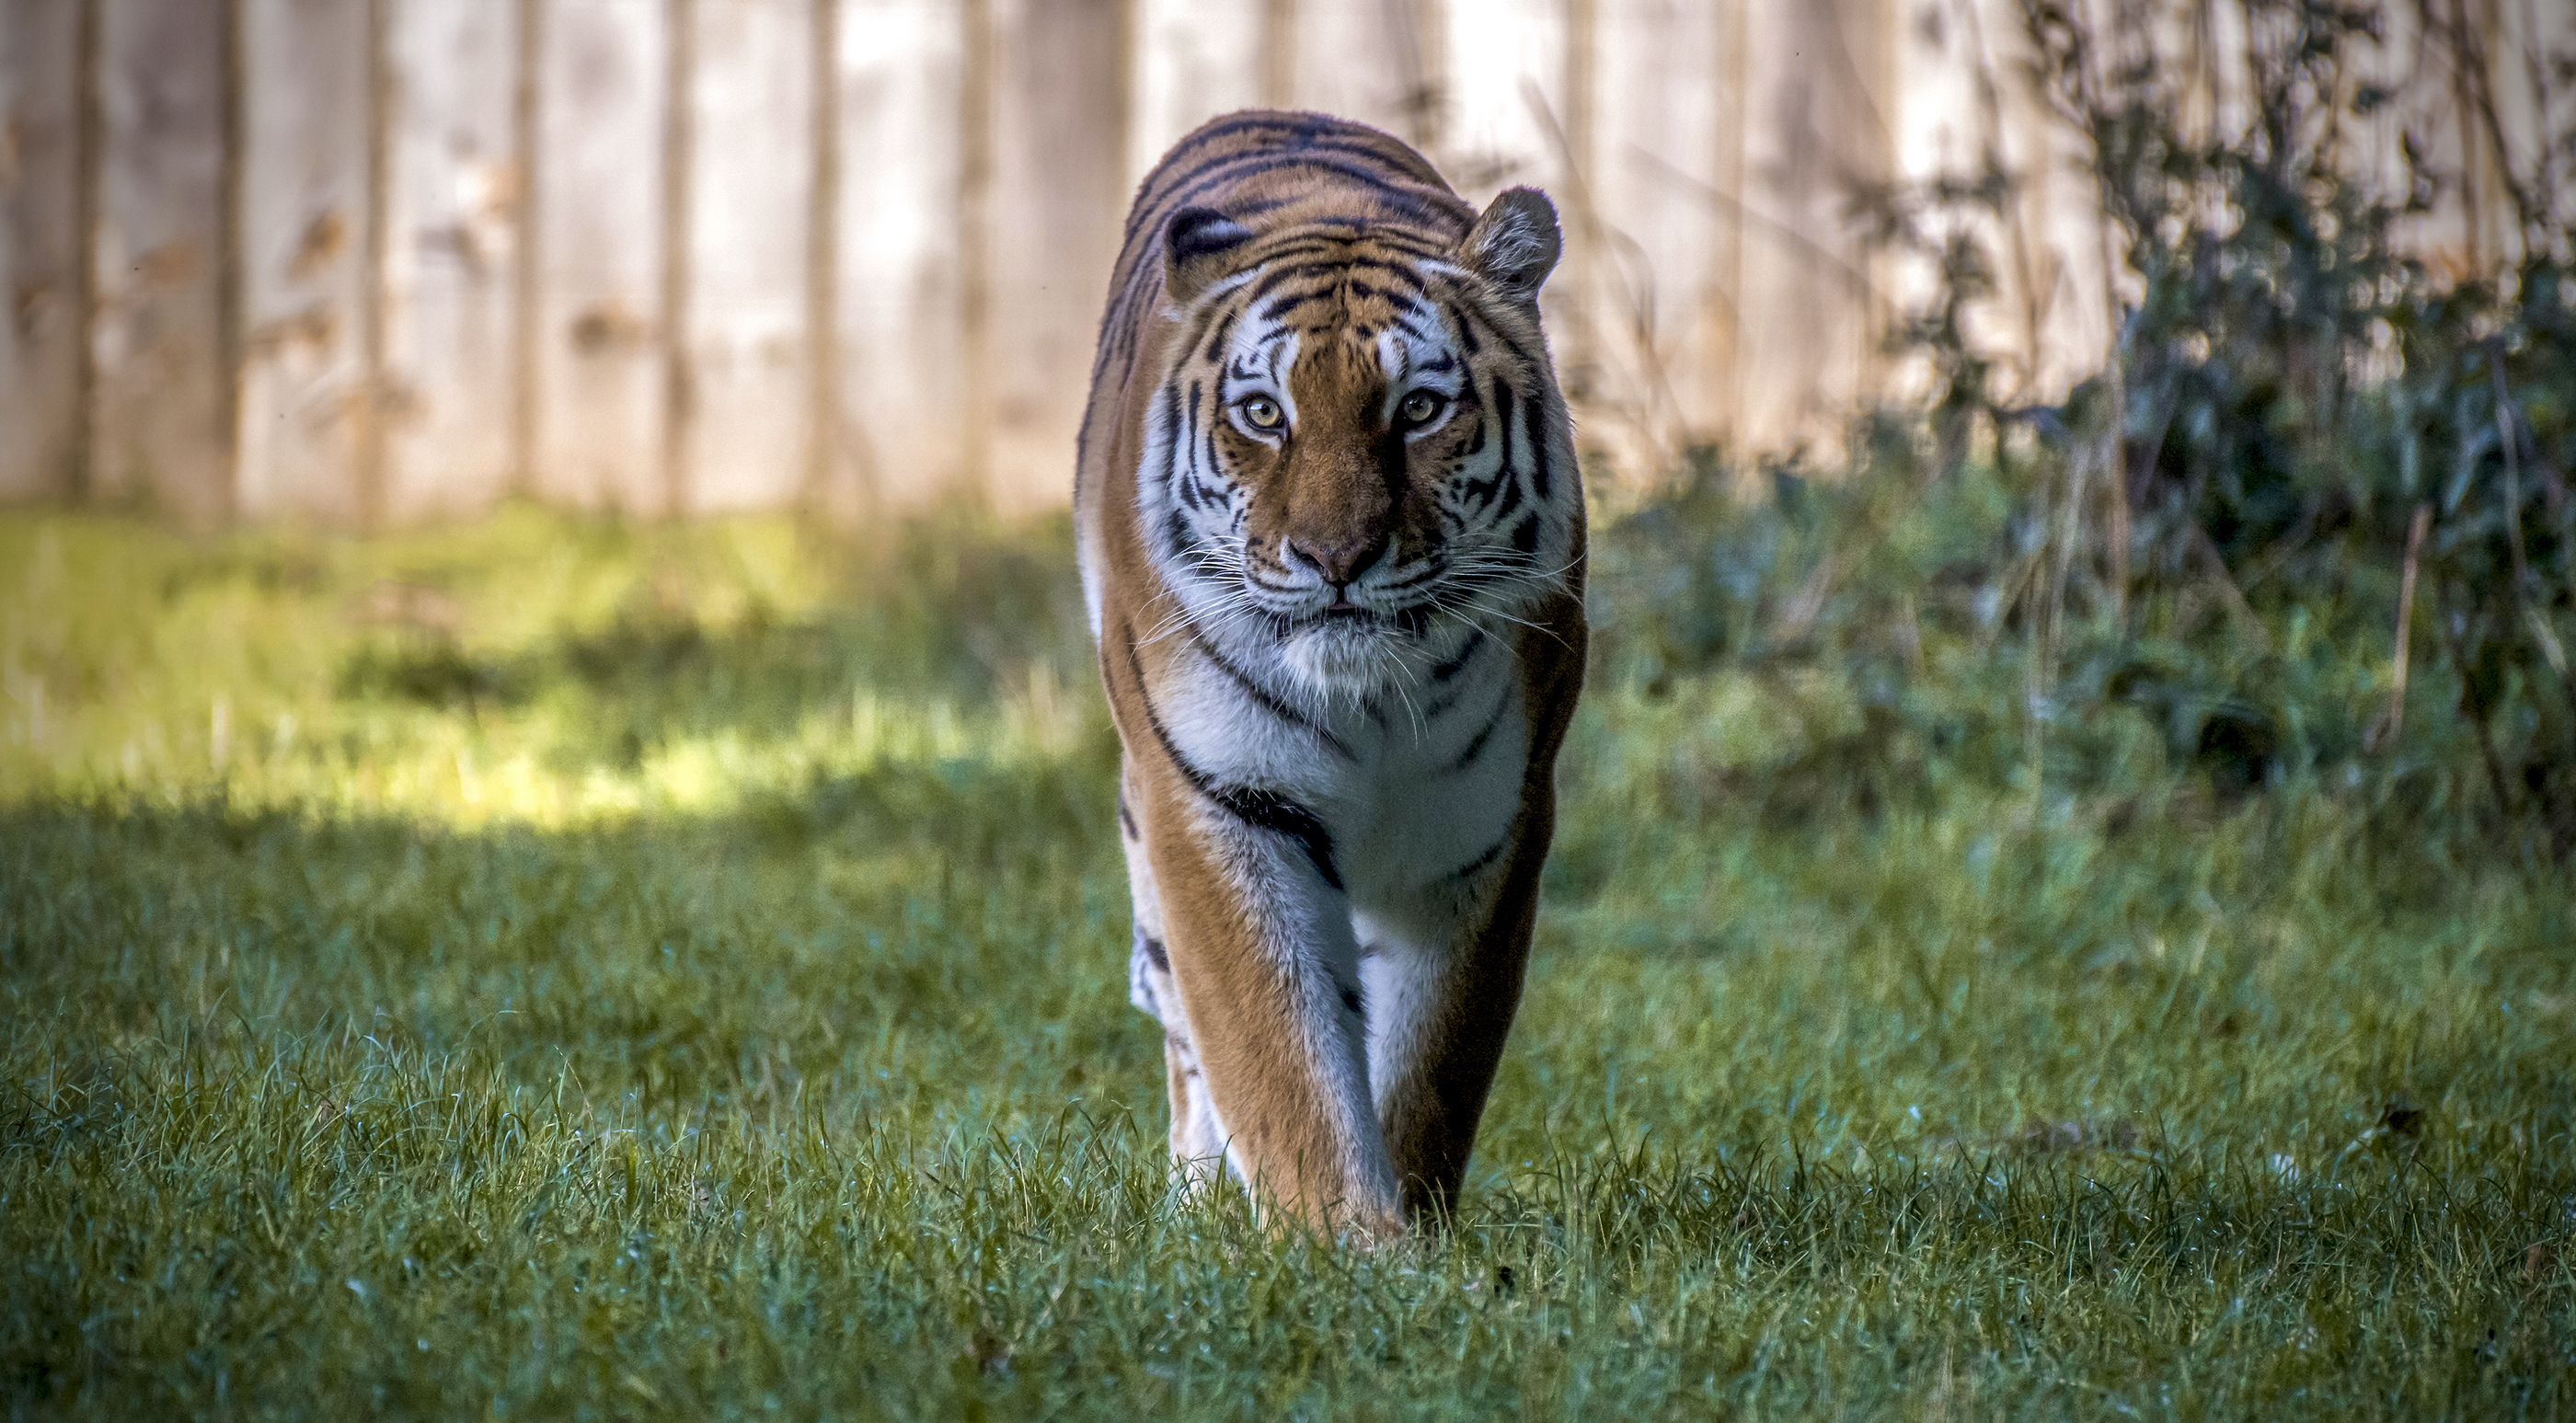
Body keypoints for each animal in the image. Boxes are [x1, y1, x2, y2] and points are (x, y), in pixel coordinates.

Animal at [1071, 110, 1586, 1237]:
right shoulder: (1217, 801)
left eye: (1420, 408)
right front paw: (1345, 1242)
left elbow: (1433, 1057)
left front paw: (1411, 1231)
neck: (1373, 700)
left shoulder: (1483, 828)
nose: (1334, 557)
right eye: (1265, 415)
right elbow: (1276, 1052)